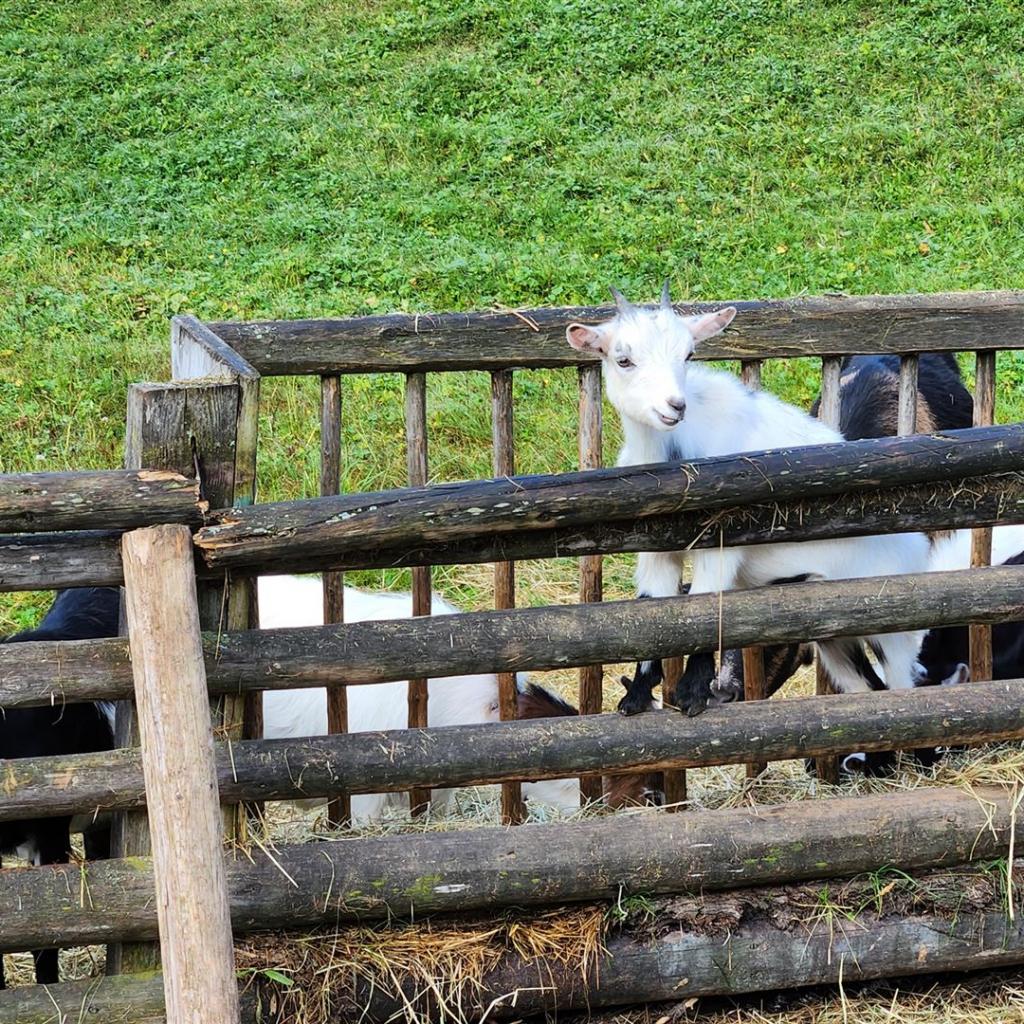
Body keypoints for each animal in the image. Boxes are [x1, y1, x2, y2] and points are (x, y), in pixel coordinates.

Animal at [566, 284, 932, 717]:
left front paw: (692, 693)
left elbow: (706, 604)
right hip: (835, 631)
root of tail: (919, 547)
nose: (675, 406)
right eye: (623, 359)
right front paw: (635, 697)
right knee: (867, 687)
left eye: (688, 354)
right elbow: (653, 609)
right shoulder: (656, 551)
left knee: (905, 682)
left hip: (893, 624)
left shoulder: (721, 541)